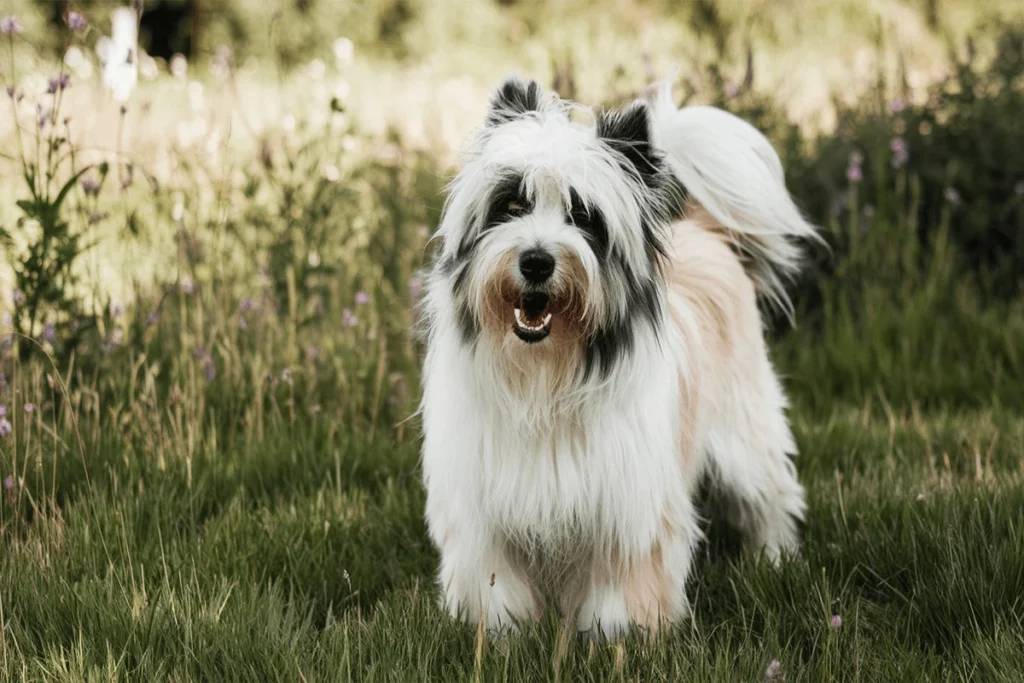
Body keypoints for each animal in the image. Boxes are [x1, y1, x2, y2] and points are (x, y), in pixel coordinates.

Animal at [415, 77, 815, 638]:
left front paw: (620, 640)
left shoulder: (628, 512)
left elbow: (619, 592)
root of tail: (703, 229)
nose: (536, 261)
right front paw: (497, 638)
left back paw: (774, 560)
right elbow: (500, 591)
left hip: (745, 432)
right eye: (511, 204)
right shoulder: (485, 516)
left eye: (584, 216)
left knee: (771, 495)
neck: (546, 374)